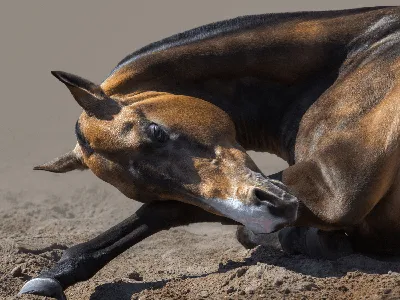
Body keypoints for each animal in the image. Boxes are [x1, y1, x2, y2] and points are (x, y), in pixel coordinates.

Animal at [20, 5, 400, 298]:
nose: (269, 211)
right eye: (145, 188)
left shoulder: (334, 188)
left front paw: (52, 275)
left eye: (156, 132)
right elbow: (173, 209)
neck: (359, 55)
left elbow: (166, 212)